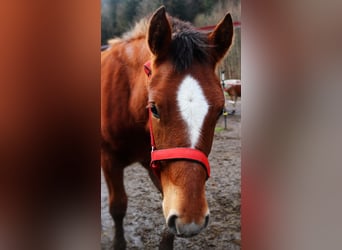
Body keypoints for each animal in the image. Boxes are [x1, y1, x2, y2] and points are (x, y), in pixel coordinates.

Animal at [101, 6, 234, 250]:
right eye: (153, 108)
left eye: (220, 110)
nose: (192, 221)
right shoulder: (109, 160)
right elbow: (118, 207)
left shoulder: (157, 164)